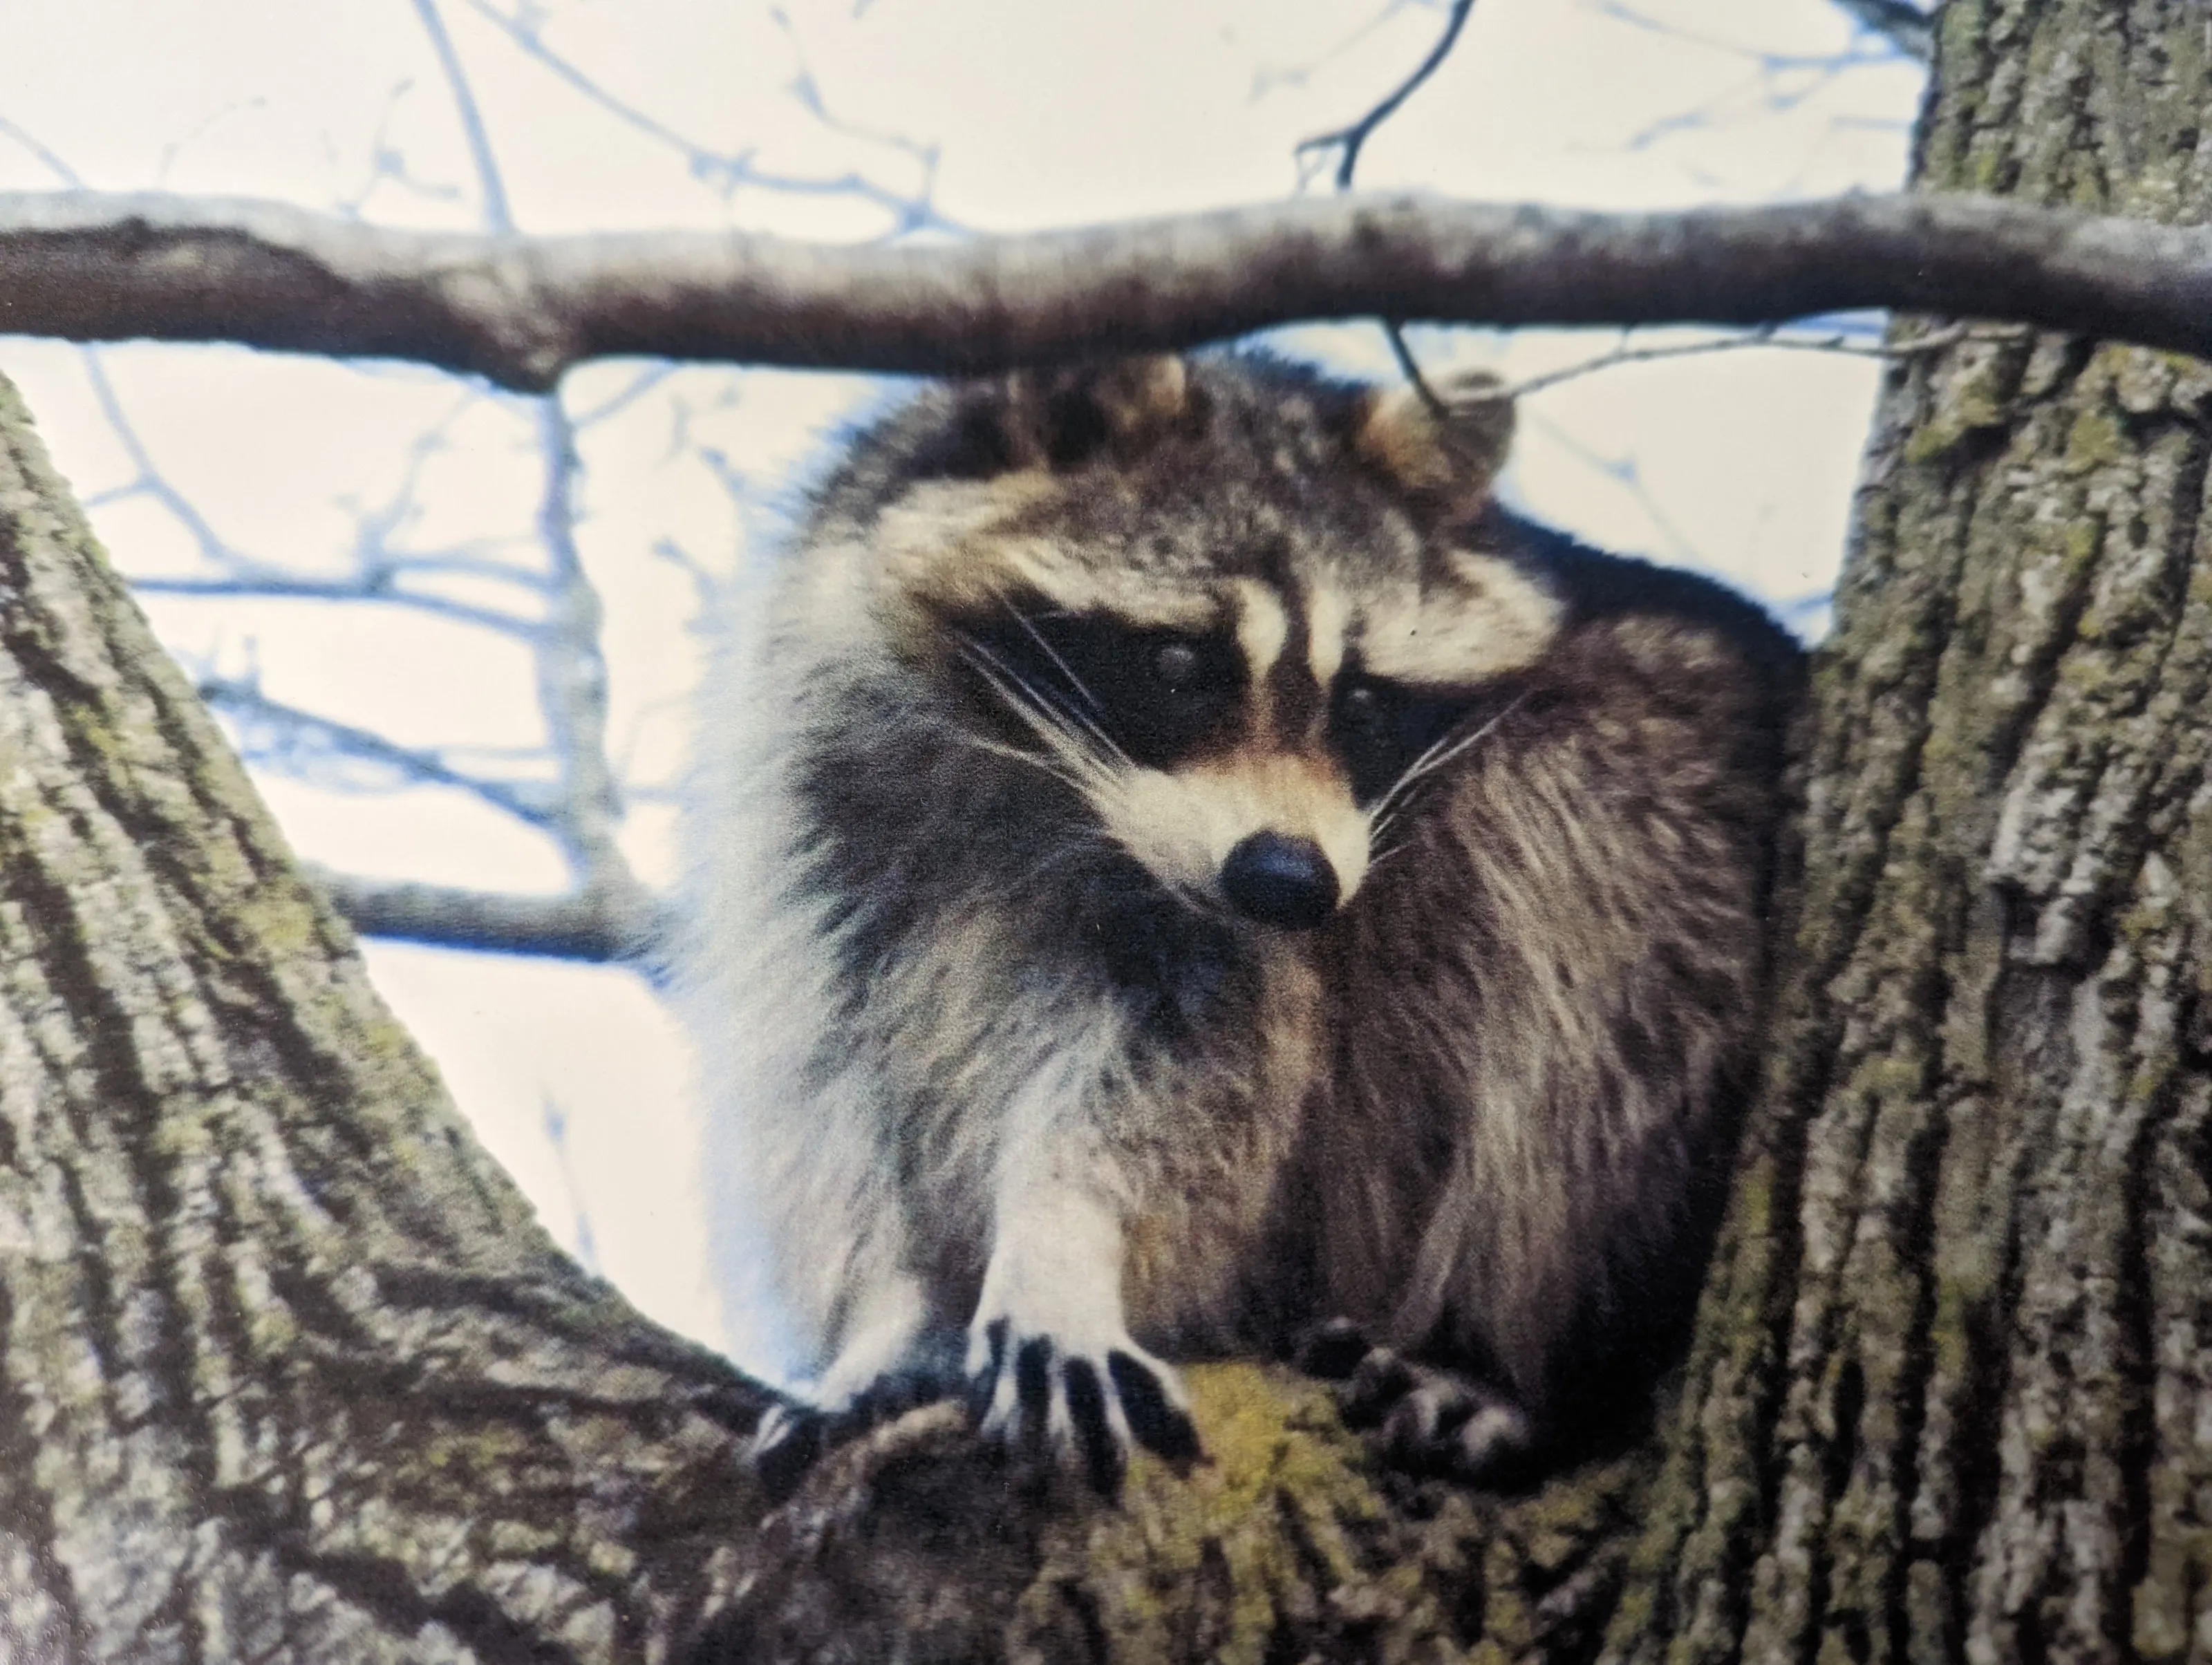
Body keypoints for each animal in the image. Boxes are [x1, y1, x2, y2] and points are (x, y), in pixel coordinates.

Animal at [679, 354, 1801, 1495]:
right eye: (1179, 666)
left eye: (1364, 702)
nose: (1288, 880)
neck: (1044, 782)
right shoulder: (817, 800)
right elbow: (834, 1088)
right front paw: (890, 1321)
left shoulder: (1252, 944)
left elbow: (1185, 1084)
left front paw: (1065, 1246)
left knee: (1583, 822)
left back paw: (1512, 1364)